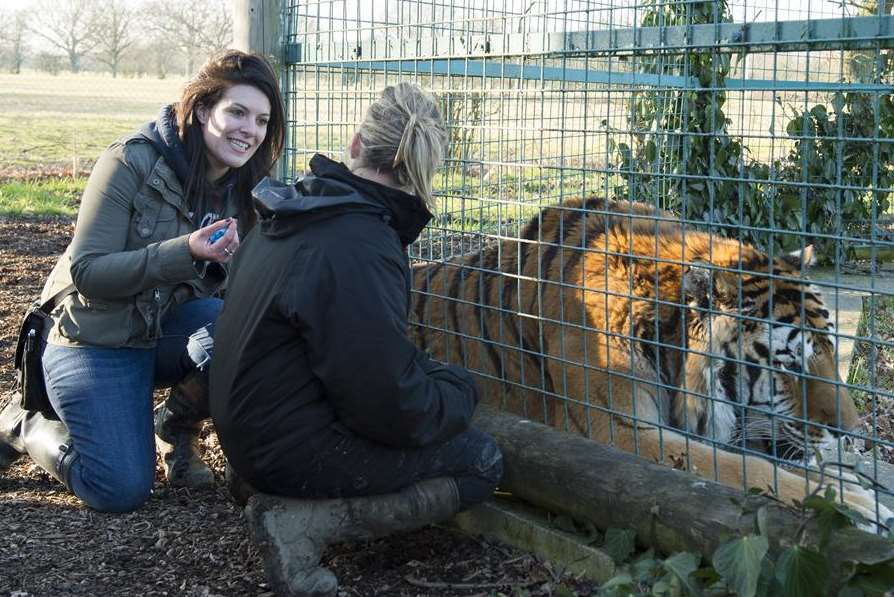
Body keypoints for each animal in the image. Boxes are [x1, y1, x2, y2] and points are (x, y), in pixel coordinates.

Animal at [412, 194, 888, 528]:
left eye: (831, 351)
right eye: (788, 364)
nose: (855, 436)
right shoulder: (618, 431)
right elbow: (739, 467)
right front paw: (860, 504)